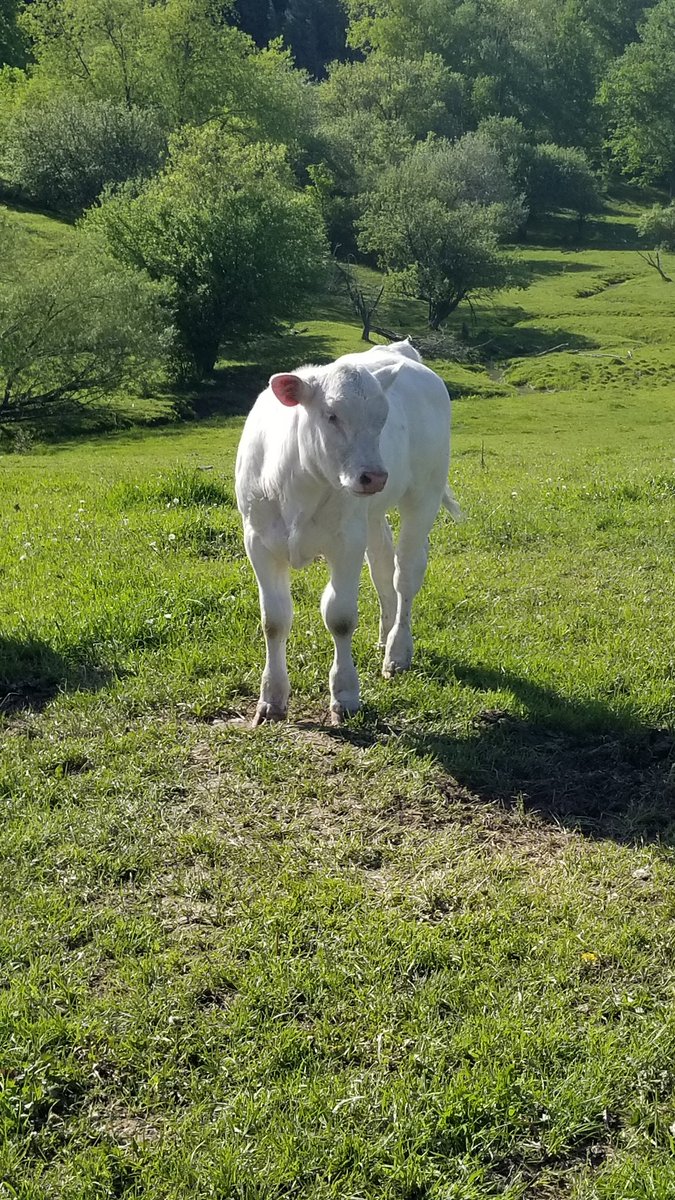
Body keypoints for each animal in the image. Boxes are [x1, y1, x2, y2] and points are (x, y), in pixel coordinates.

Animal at [235, 339, 462, 727]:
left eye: (382, 418)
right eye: (331, 415)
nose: (375, 476)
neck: (298, 482)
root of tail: (401, 350)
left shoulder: (346, 543)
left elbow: (340, 618)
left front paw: (345, 695)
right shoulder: (258, 542)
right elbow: (274, 620)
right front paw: (272, 699)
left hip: (423, 495)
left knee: (405, 574)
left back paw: (397, 651)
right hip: (371, 516)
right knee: (383, 566)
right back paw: (384, 637)